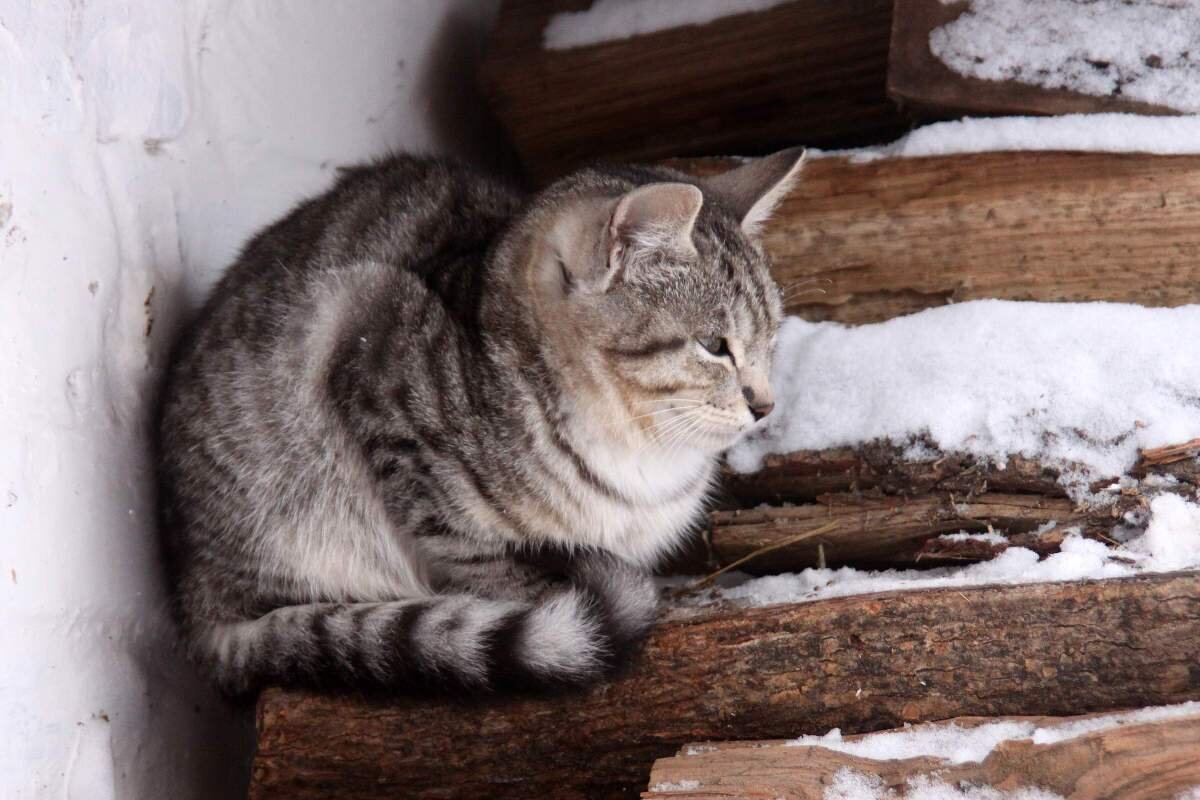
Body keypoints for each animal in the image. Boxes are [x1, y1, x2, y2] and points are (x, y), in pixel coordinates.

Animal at [154, 145, 801, 695]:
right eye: (715, 346)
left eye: (772, 341)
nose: (766, 405)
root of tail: (193, 596)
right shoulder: (378, 368)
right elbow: (477, 553)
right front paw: (541, 593)